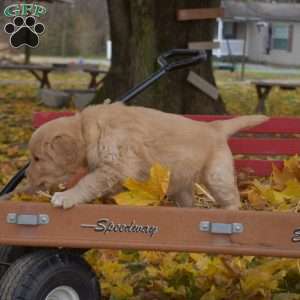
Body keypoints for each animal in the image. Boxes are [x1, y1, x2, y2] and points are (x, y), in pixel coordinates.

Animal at [25, 102, 268, 210]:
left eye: (37, 159)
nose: (26, 177)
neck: (88, 129)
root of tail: (215, 127)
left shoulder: (115, 166)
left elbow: (87, 182)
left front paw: (66, 197)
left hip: (217, 176)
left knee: (232, 199)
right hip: (181, 182)